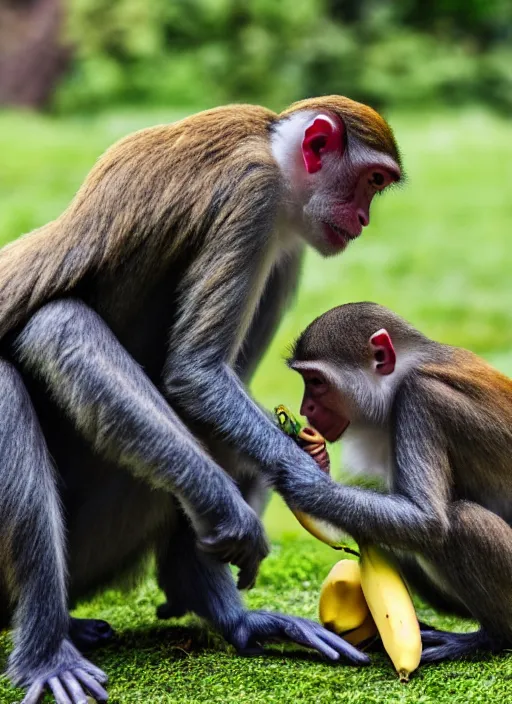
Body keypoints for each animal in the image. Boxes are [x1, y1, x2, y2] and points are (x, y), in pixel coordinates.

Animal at [0, 99, 400, 704]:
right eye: (372, 181)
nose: (364, 220)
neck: (271, 145)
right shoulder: (256, 198)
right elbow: (196, 374)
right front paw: (296, 486)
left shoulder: (283, 243)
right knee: (51, 333)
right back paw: (49, 652)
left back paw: (213, 605)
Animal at [286, 302, 512, 664]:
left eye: (316, 382)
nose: (305, 408)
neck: (407, 370)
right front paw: (315, 458)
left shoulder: (421, 397)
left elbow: (427, 519)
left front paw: (302, 479)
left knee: (461, 520)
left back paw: (492, 638)